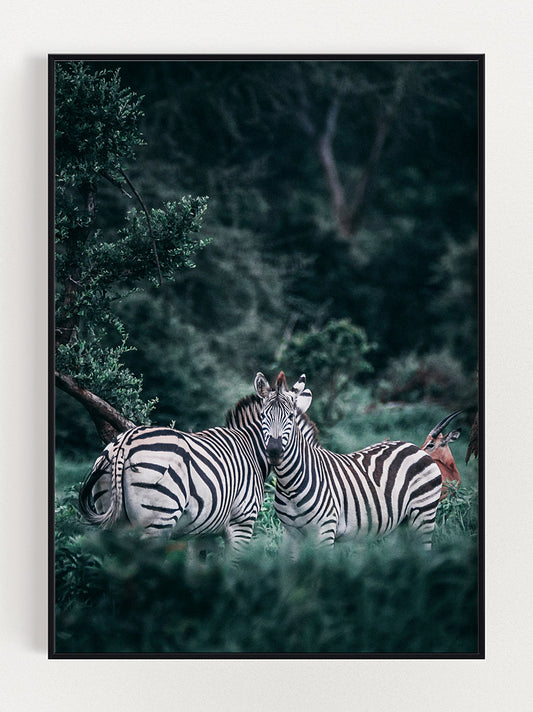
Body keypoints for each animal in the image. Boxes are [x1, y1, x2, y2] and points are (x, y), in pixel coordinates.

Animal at [78, 393, 319, 553]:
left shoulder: (203, 531)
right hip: (157, 520)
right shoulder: (242, 522)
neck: (251, 448)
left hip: (112, 514)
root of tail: (125, 442)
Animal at [254, 371, 443, 550]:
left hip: (423, 515)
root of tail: (414, 447)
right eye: (262, 416)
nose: (274, 451)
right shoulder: (291, 534)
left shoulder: (325, 530)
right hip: (400, 525)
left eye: (291, 416)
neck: (290, 484)